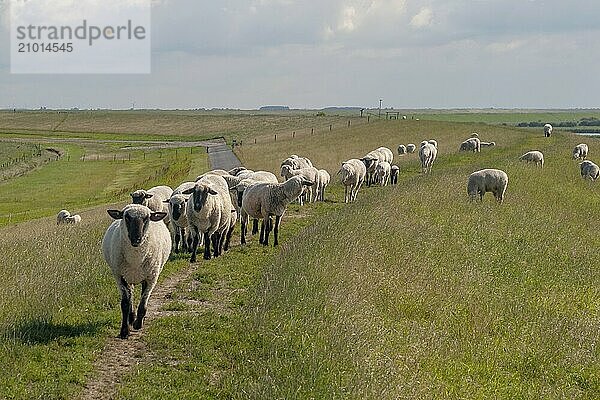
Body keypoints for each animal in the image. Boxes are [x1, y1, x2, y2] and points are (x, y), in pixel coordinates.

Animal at [102, 205, 170, 340]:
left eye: (146, 218)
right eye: (126, 217)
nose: (136, 239)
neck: (135, 259)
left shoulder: (151, 278)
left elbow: (143, 302)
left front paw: (138, 323)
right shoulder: (120, 276)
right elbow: (125, 304)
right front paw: (124, 331)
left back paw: (138, 319)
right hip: (129, 276)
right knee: (131, 295)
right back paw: (131, 317)